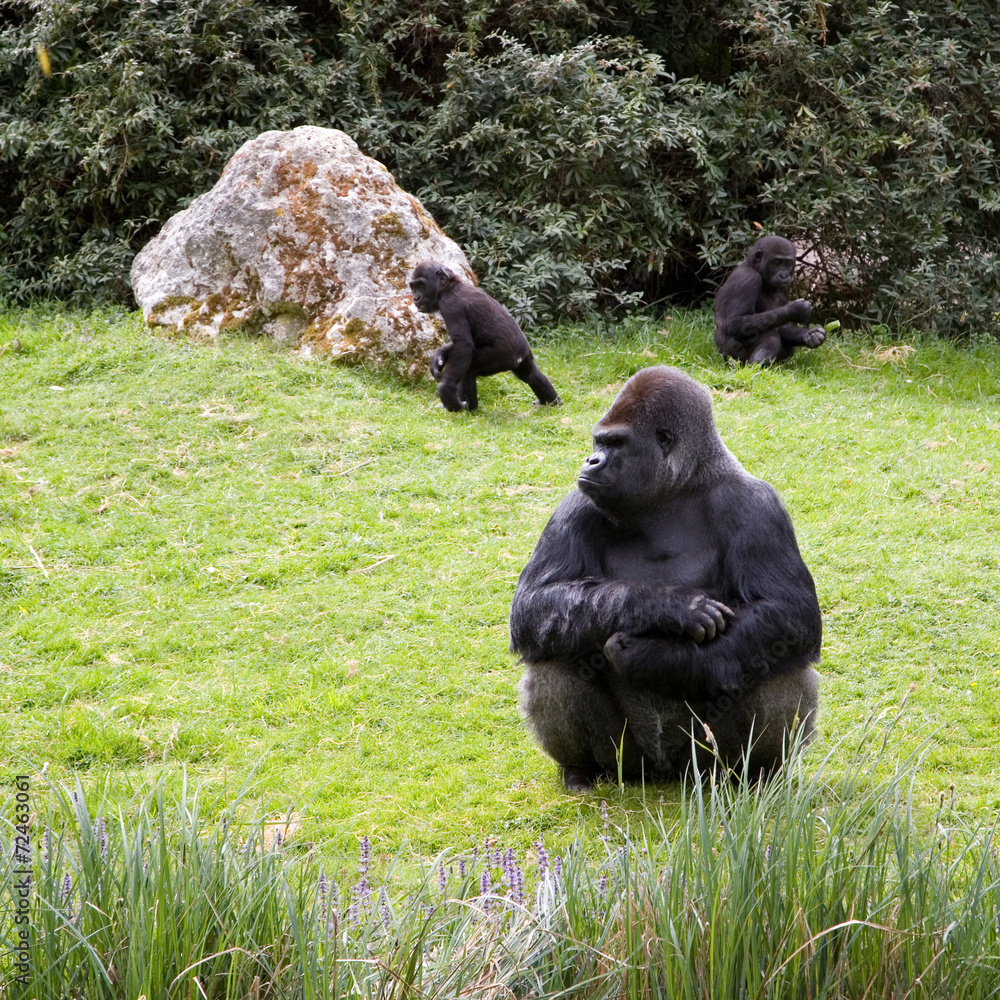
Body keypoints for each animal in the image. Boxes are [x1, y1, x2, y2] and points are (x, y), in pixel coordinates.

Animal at [406, 264, 564, 412]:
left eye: (421, 285)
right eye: (413, 287)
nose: (416, 297)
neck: (448, 288)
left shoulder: (452, 307)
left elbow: (463, 344)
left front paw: (447, 391)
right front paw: (439, 356)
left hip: (501, 356)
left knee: (468, 369)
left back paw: (469, 409)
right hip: (523, 357)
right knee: (529, 374)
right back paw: (551, 401)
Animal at [508, 364, 820, 792]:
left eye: (616, 443)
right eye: (599, 441)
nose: (591, 461)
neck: (677, 488)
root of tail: (664, 772)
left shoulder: (757, 505)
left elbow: (789, 611)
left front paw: (660, 658)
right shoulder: (576, 505)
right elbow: (535, 603)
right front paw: (663, 605)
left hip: (705, 763)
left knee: (777, 656)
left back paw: (759, 773)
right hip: (627, 761)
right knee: (554, 650)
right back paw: (580, 769)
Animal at [712, 236, 828, 366]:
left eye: (788, 263)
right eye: (777, 262)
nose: (784, 275)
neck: (755, 268)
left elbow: (783, 325)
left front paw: (810, 335)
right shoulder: (748, 278)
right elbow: (735, 322)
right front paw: (796, 309)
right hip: (731, 356)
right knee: (770, 337)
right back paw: (754, 367)